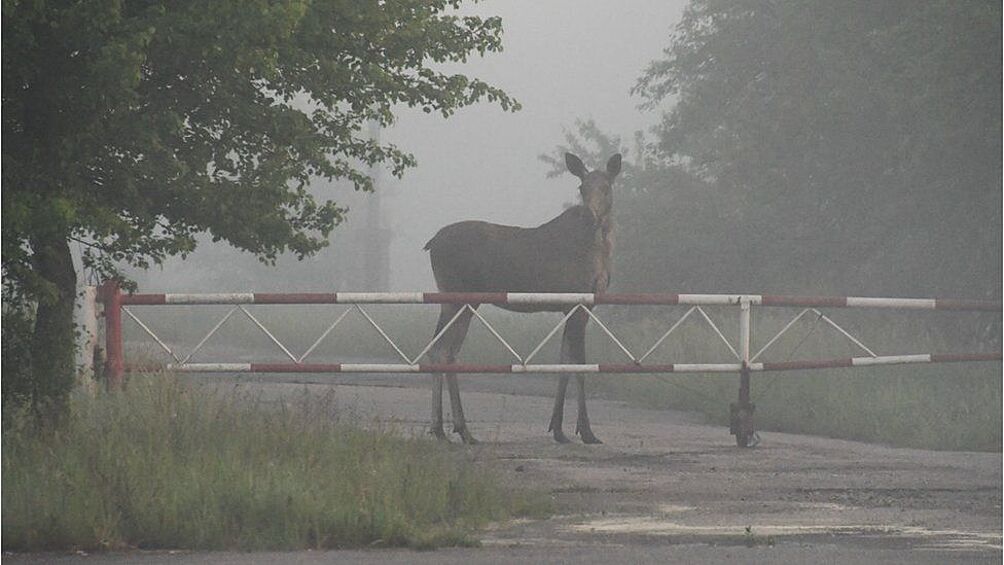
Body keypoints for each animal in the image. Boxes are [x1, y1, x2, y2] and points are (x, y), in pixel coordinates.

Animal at [421, 152, 618, 443]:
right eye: (582, 187)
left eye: (606, 187)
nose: (591, 216)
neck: (600, 250)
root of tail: (431, 242)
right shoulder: (579, 302)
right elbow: (580, 365)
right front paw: (586, 430)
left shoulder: (573, 307)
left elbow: (564, 362)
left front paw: (558, 428)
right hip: (457, 297)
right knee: (442, 350)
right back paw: (452, 428)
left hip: (460, 301)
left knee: (444, 351)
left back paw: (450, 428)